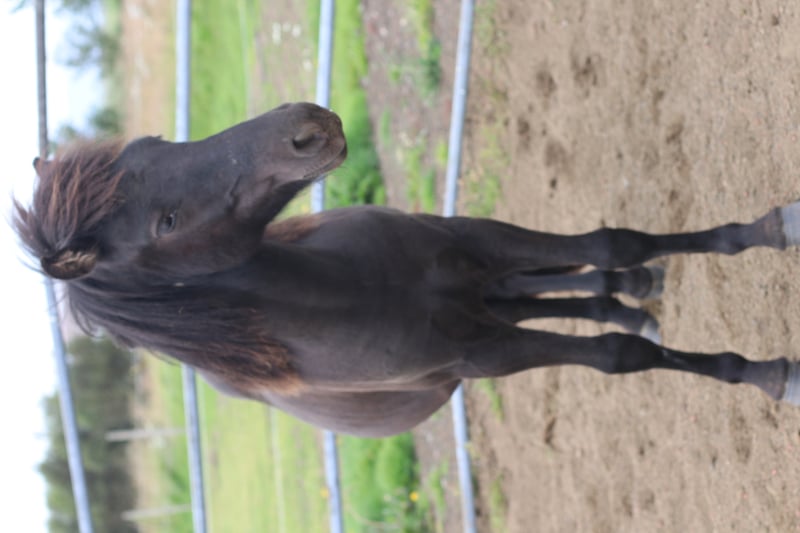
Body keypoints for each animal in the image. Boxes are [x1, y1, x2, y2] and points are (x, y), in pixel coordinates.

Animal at [13, 102, 800, 437]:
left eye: (158, 142)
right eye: (166, 222)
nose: (306, 127)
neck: (356, 292)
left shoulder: (477, 240)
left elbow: (613, 242)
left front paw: (768, 228)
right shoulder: (484, 353)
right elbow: (617, 355)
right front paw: (769, 374)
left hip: (483, 282)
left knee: (559, 280)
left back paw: (636, 293)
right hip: (486, 317)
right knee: (554, 301)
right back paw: (635, 304)